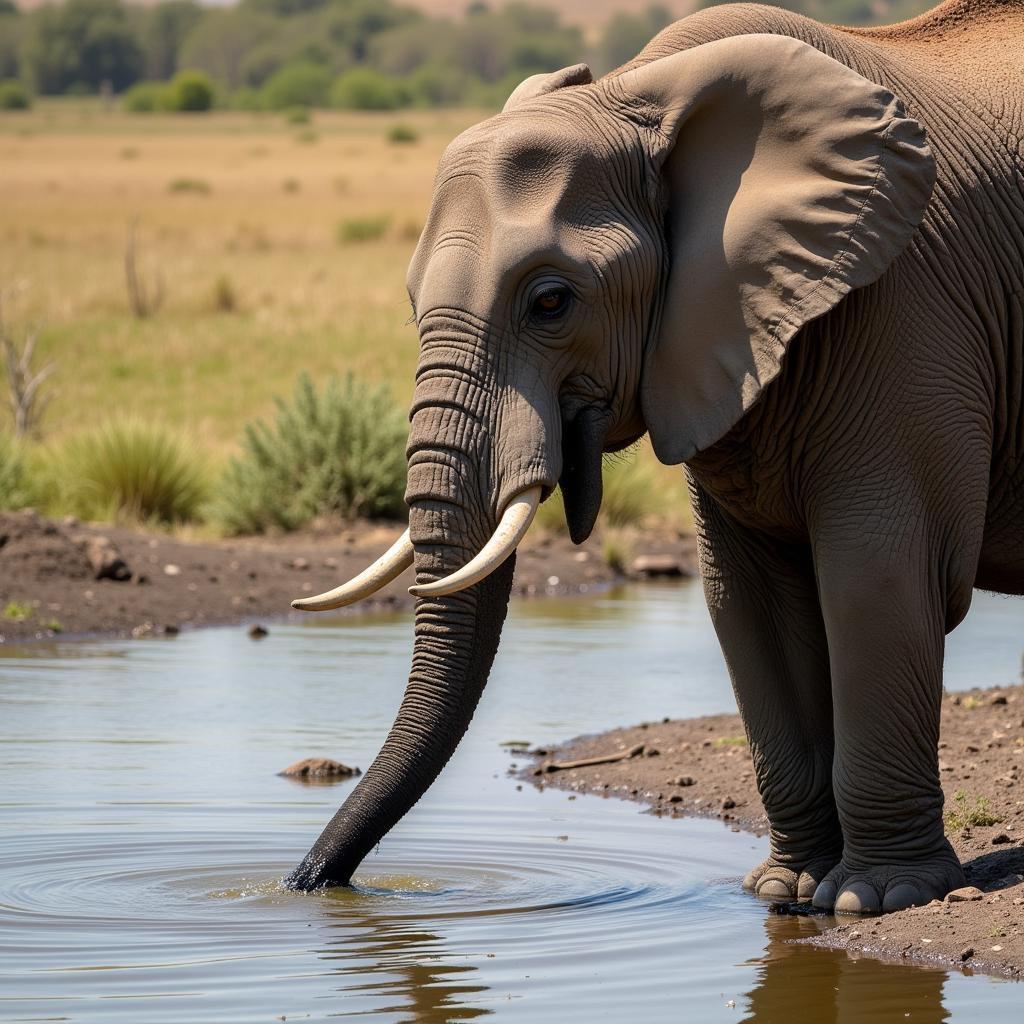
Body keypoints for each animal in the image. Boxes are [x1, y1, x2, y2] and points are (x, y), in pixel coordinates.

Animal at [284, 0, 1024, 913]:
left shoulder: (903, 308)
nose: (309, 884)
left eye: (551, 301)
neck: (639, 97)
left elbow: (876, 578)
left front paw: (871, 899)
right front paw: (783, 892)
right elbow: (746, 598)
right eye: (414, 301)